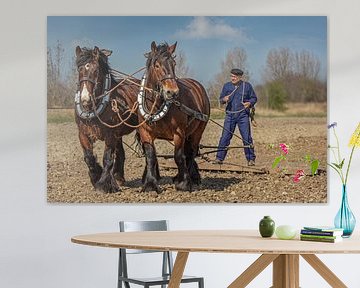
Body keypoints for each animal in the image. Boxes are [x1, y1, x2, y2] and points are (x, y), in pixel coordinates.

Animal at [74, 46, 138, 192]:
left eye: (96, 70)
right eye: (79, 69)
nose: (85, 99)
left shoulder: (110, 134)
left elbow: (107, 158)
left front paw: (103, 184)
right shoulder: (83, 133)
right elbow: (89, 158)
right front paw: (95, 177)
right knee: (120, 153)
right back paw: (119, 177)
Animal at [138, 41, 211, 192]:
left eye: (174, 63)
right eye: (157, 65)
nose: (172, 92)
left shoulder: (179, 132)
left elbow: (178, 155)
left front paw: (183, 183)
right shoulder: (145, 132)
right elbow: (150, 156)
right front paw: (150, 184)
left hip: (198, 130)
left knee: (191, 152)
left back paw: (191, 177)